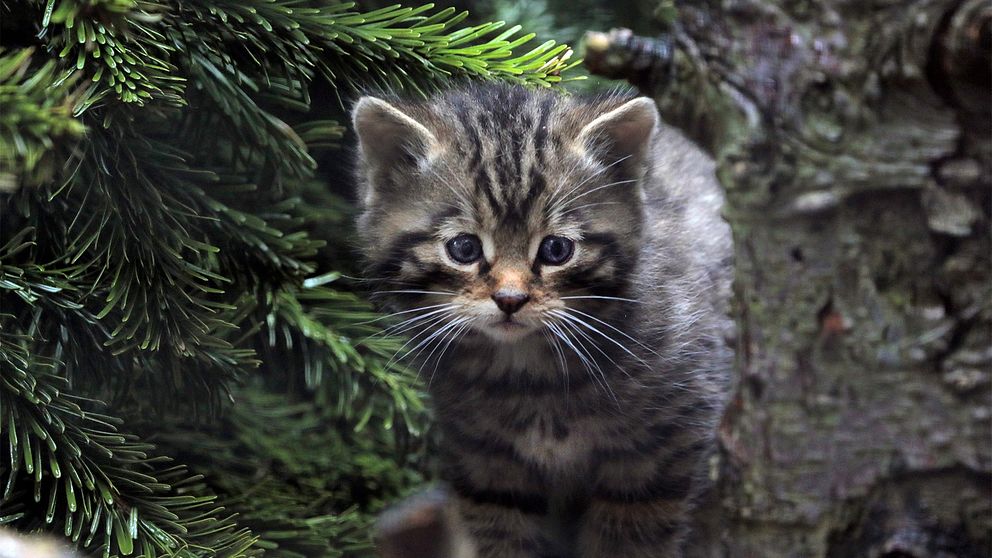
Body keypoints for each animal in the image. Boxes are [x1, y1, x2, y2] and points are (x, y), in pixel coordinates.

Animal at [352, 84, 732, 558]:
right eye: (463, 248)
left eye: (556, 250)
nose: (510, 299)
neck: (531, 378)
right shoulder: (485, 462)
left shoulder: (664, 447)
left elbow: (628, 540)